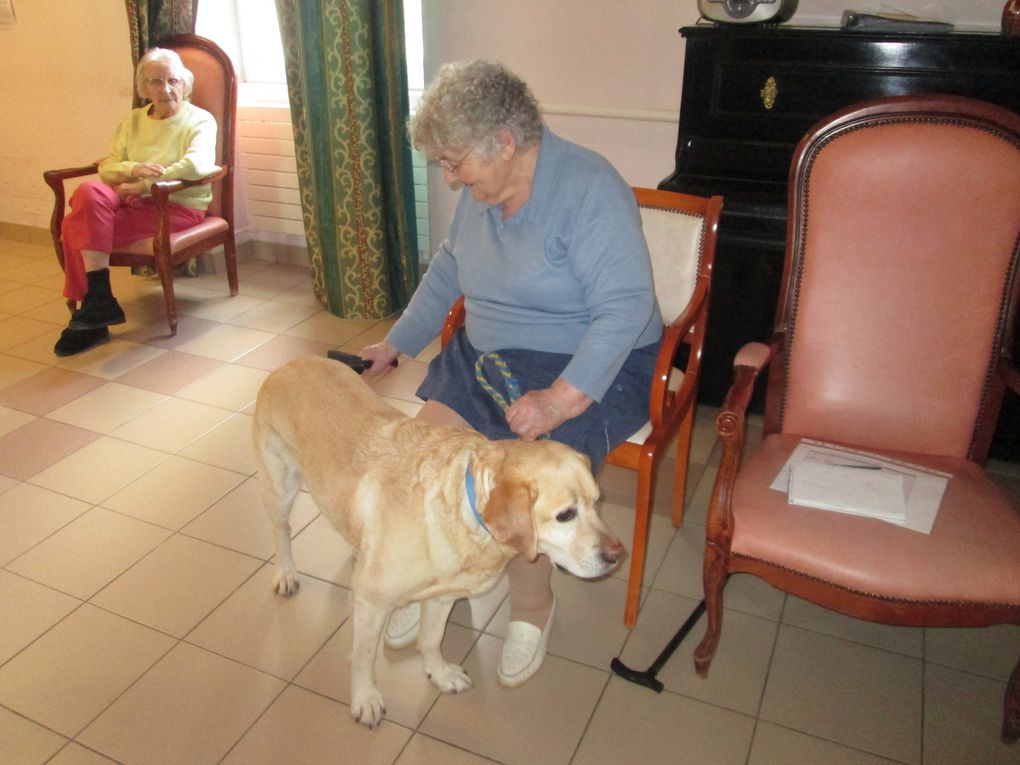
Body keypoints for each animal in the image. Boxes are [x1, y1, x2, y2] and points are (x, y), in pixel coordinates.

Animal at [250, 359, 624, 730]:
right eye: (565, 515)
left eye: (597, 502)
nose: (617, 555)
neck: (465, 511)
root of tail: (290, 363)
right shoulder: (372, 601)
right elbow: (362, 657)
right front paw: (365, 699)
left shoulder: (443, 596)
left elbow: (430, 640)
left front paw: (440, 674)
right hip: (280, 487)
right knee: (280, 530)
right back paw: (285, 574)